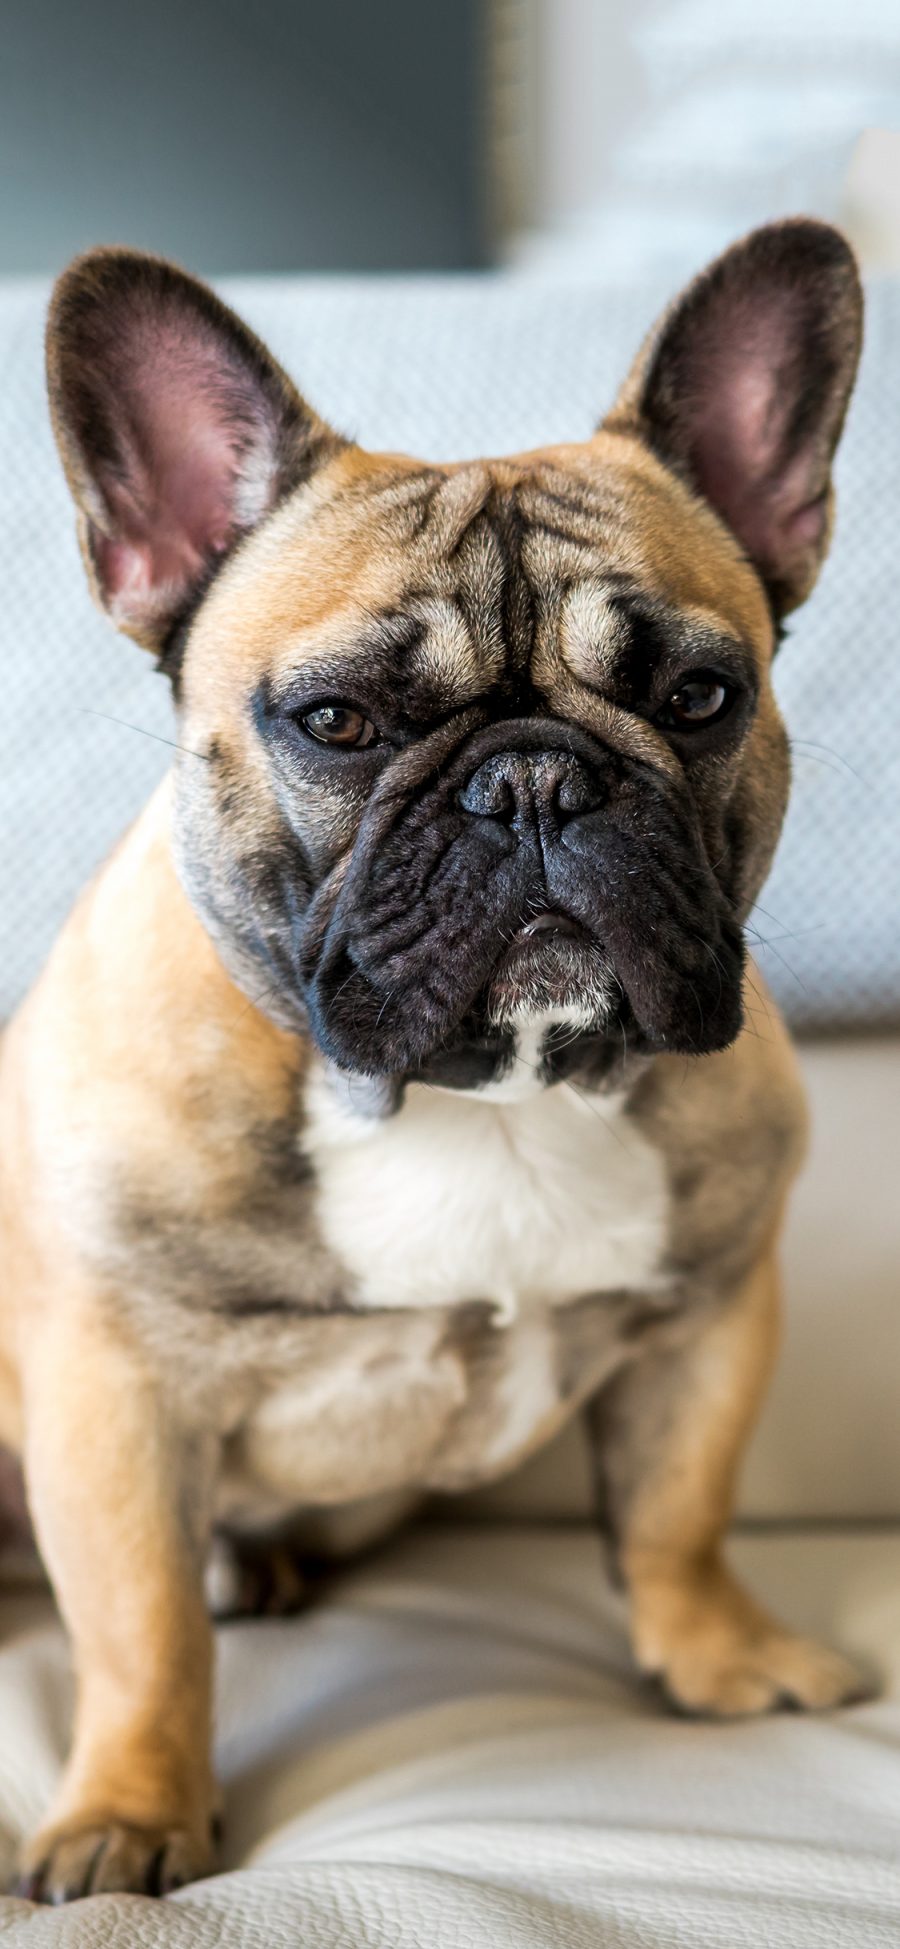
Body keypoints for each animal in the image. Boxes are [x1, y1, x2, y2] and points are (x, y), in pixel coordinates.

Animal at [0, 221, 864, 1894]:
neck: (483, 1091)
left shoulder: (715, 1310)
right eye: (335, 720)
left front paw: (721, 1656)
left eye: (700, 696)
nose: (533, 779)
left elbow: (681, 1506)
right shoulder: (115, 1389)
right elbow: (141, 1625)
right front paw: (130, 1808)